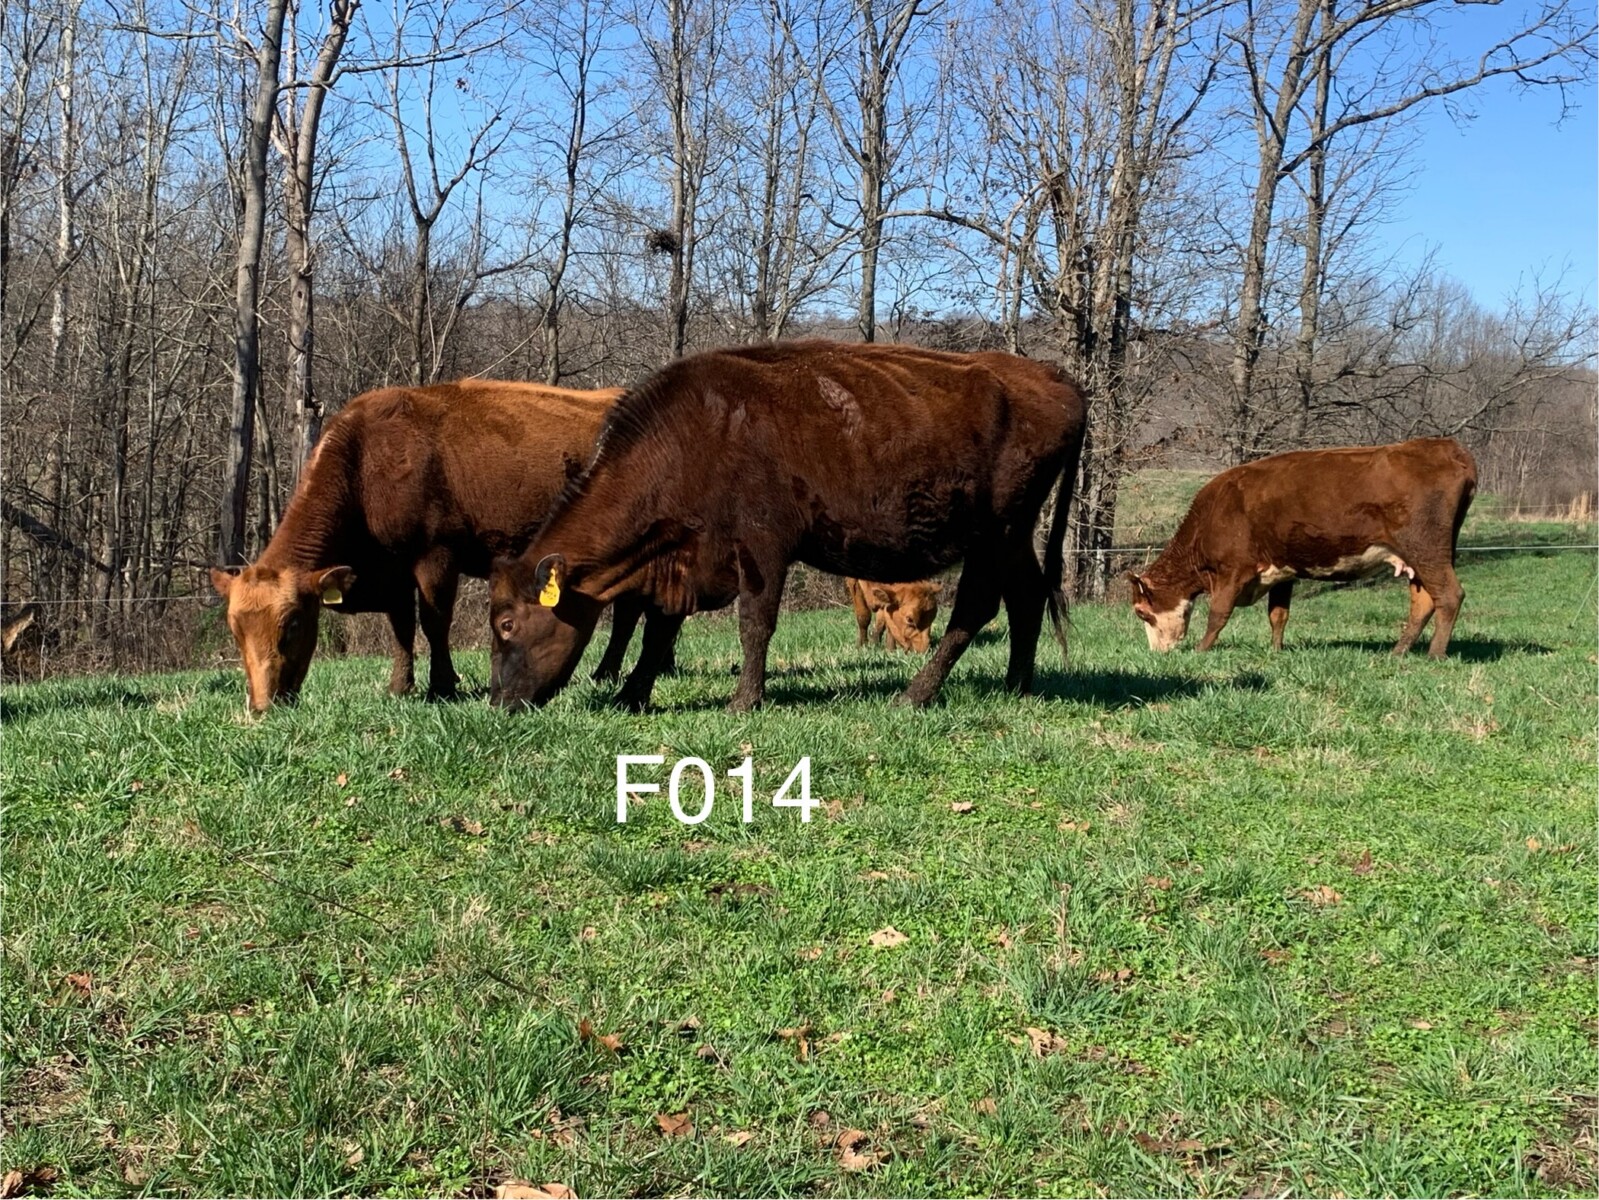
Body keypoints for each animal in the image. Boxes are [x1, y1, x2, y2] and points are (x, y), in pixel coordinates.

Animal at [210, 379, 664, 713]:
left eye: (292, 625)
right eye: (234, 630)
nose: (262, 706)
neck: (367, 461)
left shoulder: (435, 555)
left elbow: (434, 621)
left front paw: (442, 686)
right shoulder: (392, 571)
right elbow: (401, 627)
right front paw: (400, 687)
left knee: (631, 611)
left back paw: (613, 672)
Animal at [488, 339, 1086, 711]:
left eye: (507, 624)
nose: (497, 702)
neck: (693, 436)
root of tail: (1057, 378)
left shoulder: (761, 548)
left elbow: (754, 623)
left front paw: (743, 700)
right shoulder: (684, 559)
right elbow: (661, 625)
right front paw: (631, 695)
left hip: (997, 534)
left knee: (978, 607)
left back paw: (916, 695)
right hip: (1015, 537)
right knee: (1027, 597)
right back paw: (1016, 685)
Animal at [1127, 437, 1477, 657]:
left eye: (1141, 612)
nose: (1157, 654)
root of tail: (1446, 447)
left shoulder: (1232, 570)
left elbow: (1218, 614)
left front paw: (1202, 650)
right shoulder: (1283, 572)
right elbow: (1278, 615)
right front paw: (1276, 651)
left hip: (1426, 549)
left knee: (1449, 595)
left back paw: (1434, 655)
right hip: (1419, 558)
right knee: (1423, 602)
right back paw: (1398, 651)